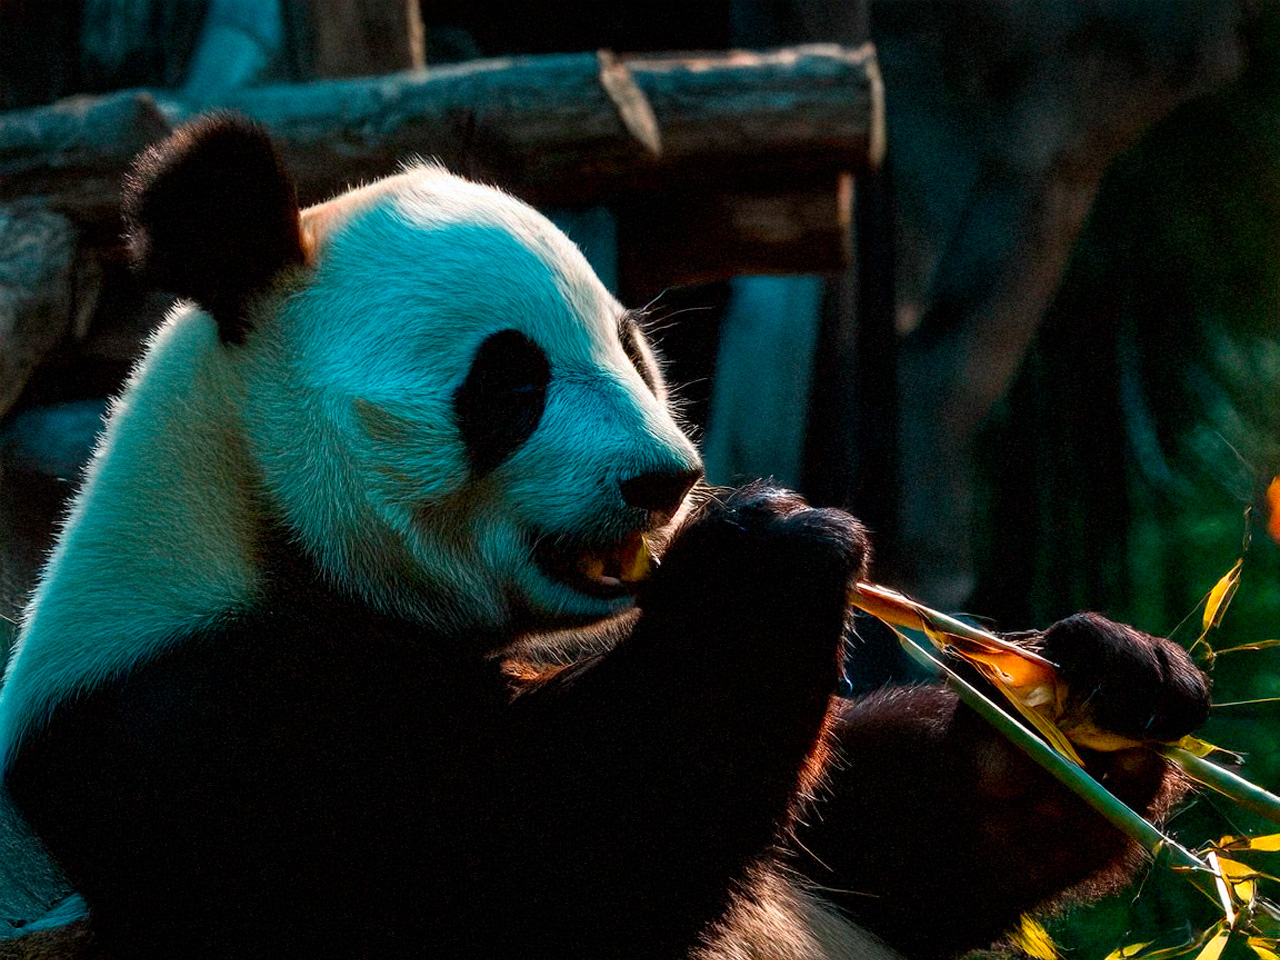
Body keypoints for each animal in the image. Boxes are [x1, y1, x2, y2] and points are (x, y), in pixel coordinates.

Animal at [0, 118, 1208, 960]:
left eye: (631, 346)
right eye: (509, 380)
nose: (667, 480)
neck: (256, 529)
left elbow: (885, 842)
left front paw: (1100, 692)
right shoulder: (178, 732)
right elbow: (520, 874)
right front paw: (764, 563)